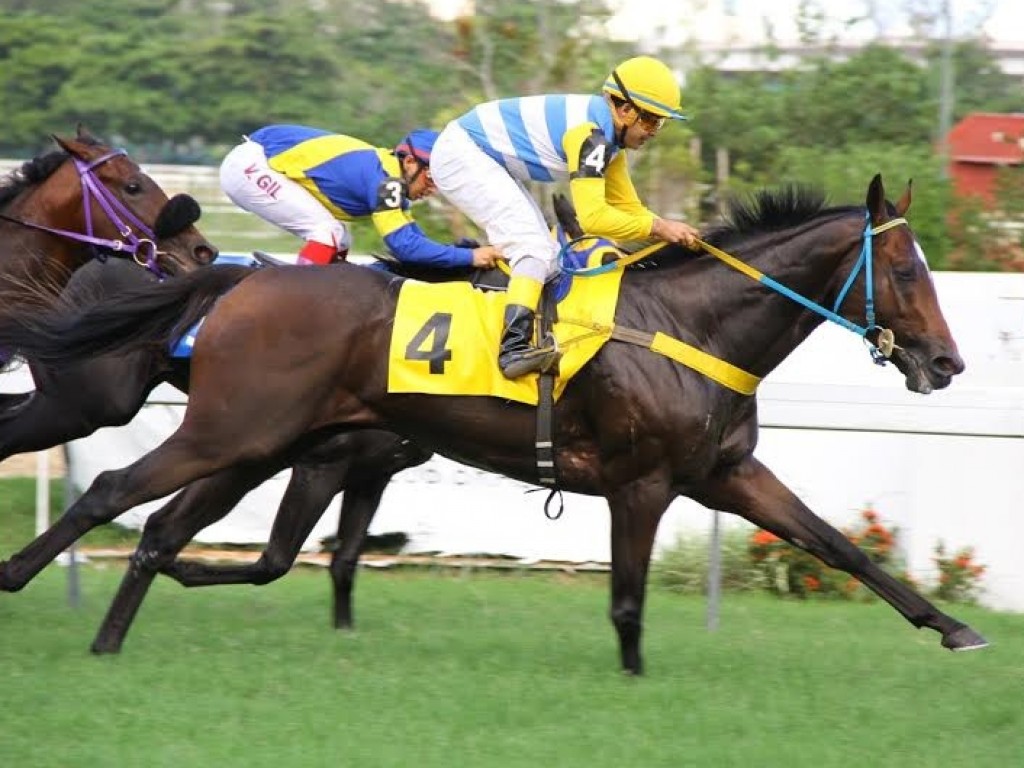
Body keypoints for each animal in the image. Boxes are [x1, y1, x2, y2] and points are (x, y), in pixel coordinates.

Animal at [0, 173, 983, 671]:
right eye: (906, 274)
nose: (947, 364)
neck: (691, 325)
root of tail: (231, 283)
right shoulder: (642, 484)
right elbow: (628, 600)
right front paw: (634, 679)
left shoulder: (725, 474)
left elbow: (838, 546)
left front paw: (953, 629)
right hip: (227, 432)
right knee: (116, 489)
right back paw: (27, 584)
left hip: (260, 443)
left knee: (160, 527)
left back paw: (111, 635)